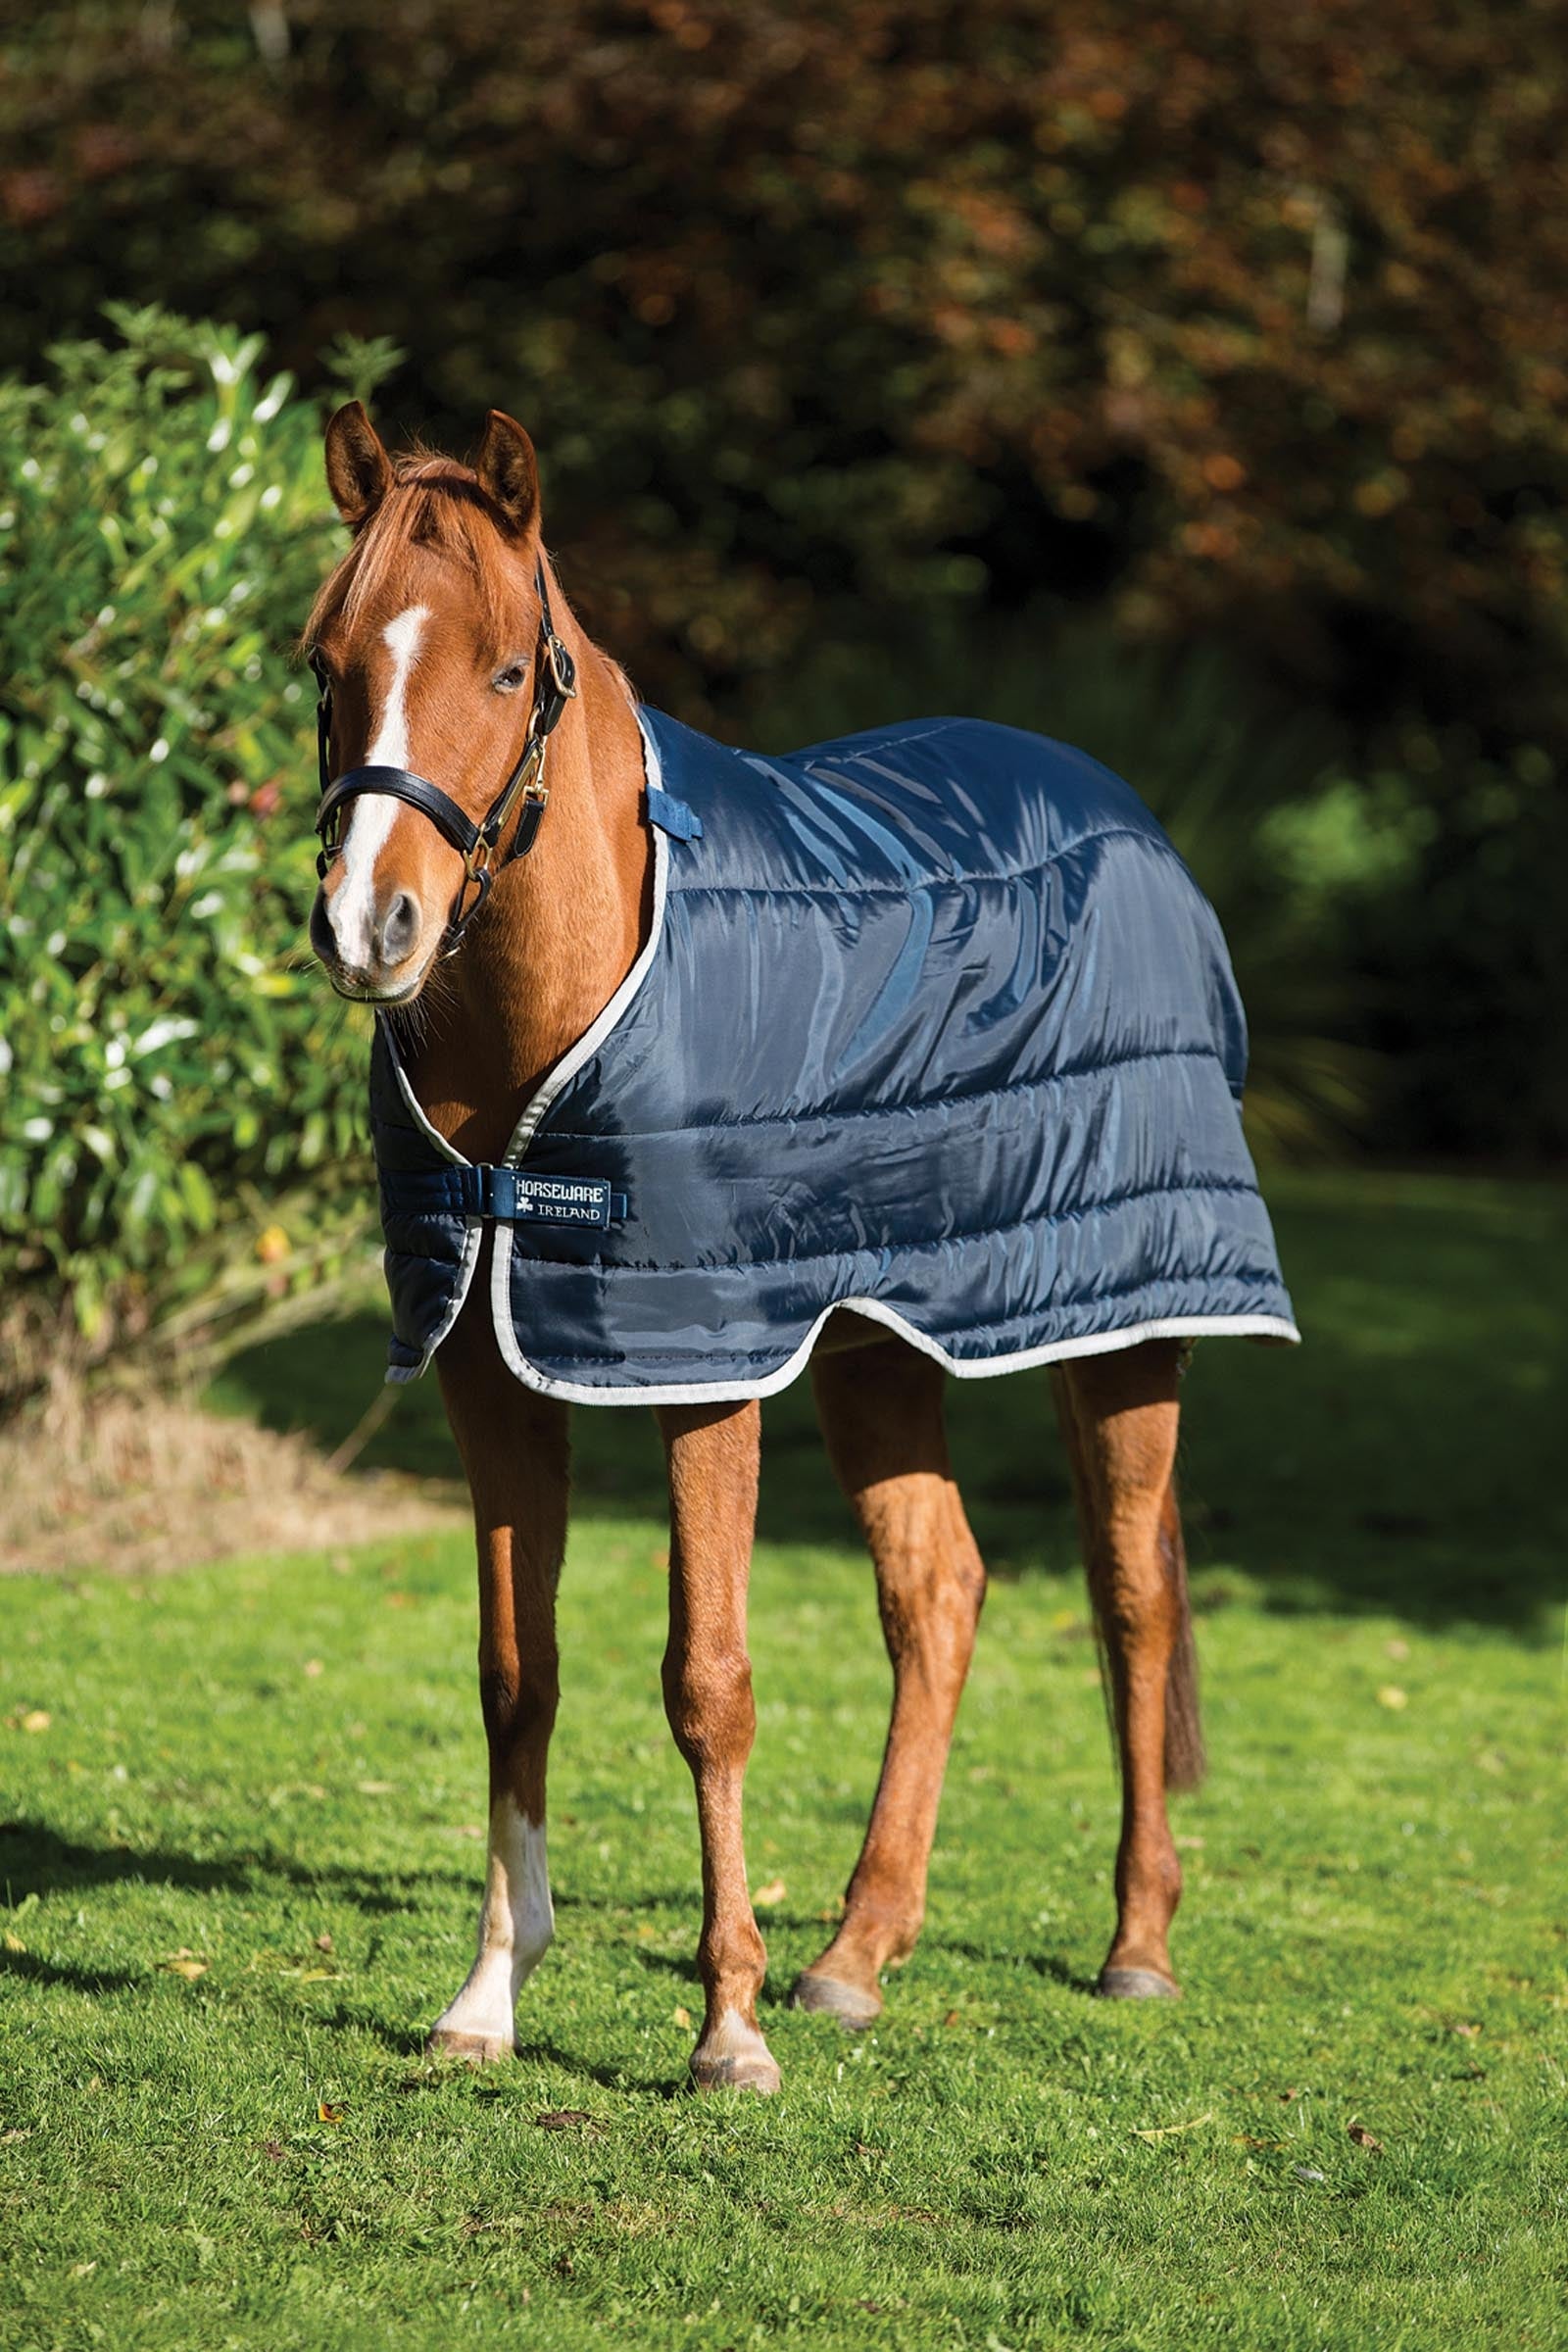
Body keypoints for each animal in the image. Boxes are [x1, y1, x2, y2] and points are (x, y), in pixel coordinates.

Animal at [304, 401, 1297, 2093]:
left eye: (503, 671)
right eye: (326, 664)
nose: (374, 925)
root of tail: (1127, 816)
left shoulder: (703, 1372)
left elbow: (708, 1684)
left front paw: (726, 2031)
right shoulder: (491, 1372)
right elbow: (517, 1677)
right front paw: (487, 2002)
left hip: (1125, 1327)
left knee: (1131, 1602)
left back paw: (1135, 1946)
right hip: (876, 1346)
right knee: (939, 1595)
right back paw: (856, 1955)